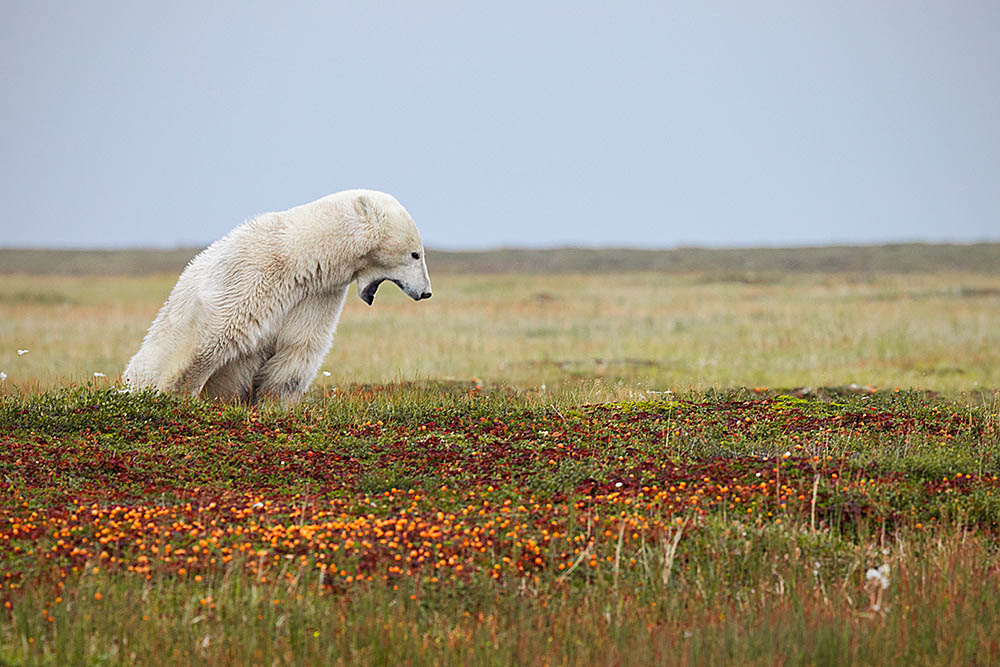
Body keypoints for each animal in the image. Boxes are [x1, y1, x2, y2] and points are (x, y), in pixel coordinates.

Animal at [121, 189, 430, 408]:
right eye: (415, 253)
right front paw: (180, 397)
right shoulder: (250, 275)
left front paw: (273, 405)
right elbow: (211, 340)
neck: (301, 257)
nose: (426, 292)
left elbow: (296, 349)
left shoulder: (316, 296)